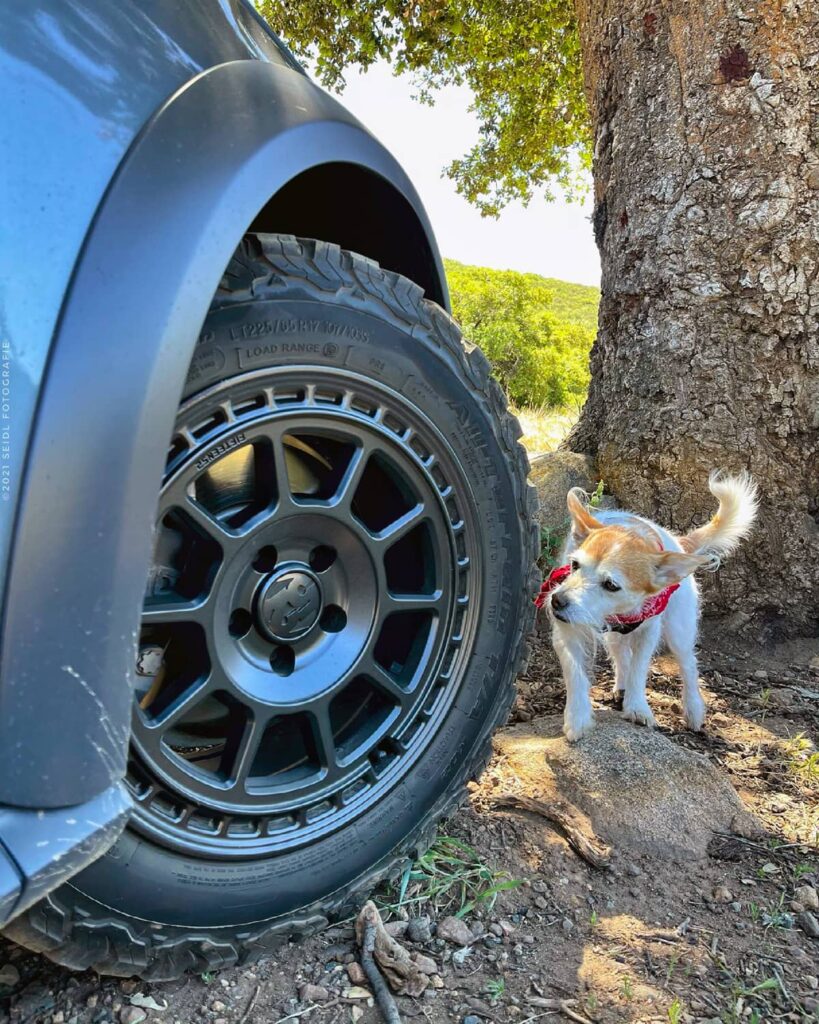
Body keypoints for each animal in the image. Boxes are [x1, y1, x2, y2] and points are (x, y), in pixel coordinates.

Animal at [544, 471, 761, 745]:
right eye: (574, 565)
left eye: (611, 585)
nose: (557, 601)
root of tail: (678, 544)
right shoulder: (567, 631)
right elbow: (575, 673)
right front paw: (578, 717)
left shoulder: (648, 632)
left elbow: (640, 668)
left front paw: (637, 707)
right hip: (616, 635)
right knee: (620, 654)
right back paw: (621, 685)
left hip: (679, 630)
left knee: (688, 665)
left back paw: (693, 709)